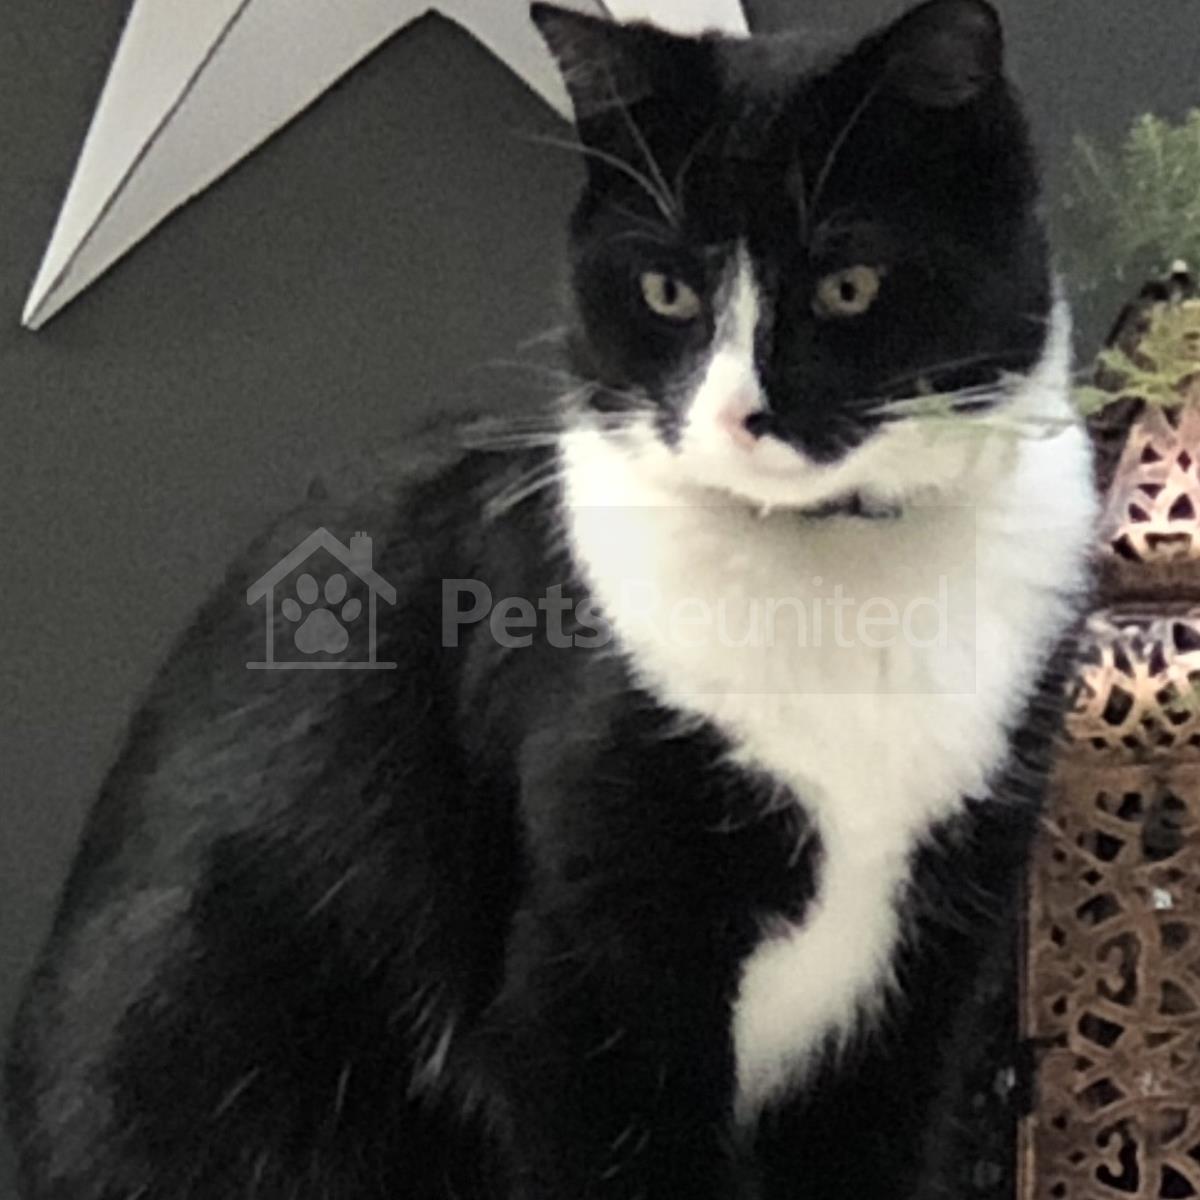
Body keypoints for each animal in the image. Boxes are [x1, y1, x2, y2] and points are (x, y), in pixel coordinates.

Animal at [5, 2, 1097, 1197]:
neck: (833, 576)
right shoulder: (587, 991)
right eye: (666, 292)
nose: (738, 417)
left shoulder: (928, 984)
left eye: (849, 285)